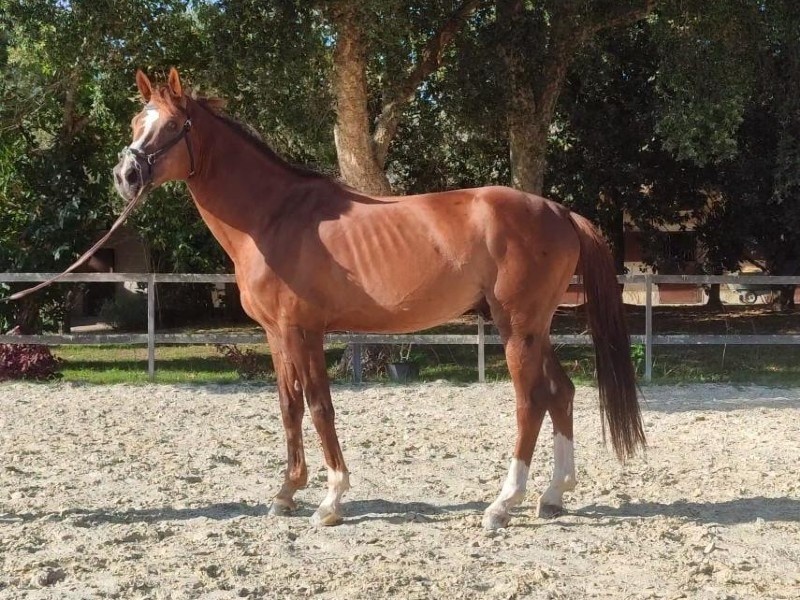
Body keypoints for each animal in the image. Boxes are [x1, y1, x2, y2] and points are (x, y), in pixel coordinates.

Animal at [113, 68, 645, 530]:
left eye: (174, 126)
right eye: (137, 123)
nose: (126, 175)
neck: (273, 217)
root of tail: (559, 211)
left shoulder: (303, 331)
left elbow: (319, 406)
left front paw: (330, 500)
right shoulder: (276, 334)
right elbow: (288, 406)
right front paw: (286, 493)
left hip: (517, 327)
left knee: (530, 402)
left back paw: (502, 504)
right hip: (534, 328)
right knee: (561, 393)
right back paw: (553, 496)